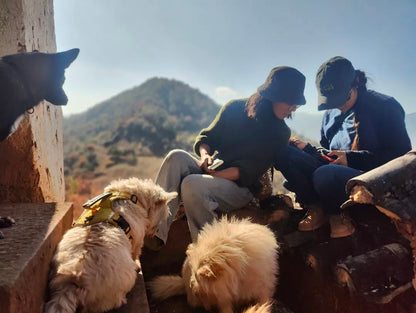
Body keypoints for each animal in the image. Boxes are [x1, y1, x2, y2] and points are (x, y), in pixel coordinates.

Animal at [45, 177, 177, 312]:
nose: (155, 231)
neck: (131, 197)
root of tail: (74, 280)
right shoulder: (137, 243)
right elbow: (135, 254)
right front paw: (137, 266)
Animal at [150, 216, 280, 312]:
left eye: (198, 276)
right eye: (193, 273)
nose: (194, 290)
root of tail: (184, 284)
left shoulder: (263, 288)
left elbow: (264, 302)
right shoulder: (223, 297)